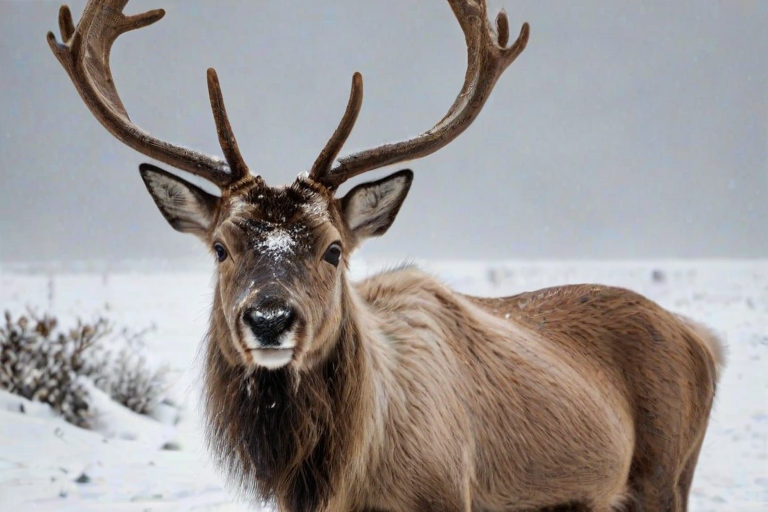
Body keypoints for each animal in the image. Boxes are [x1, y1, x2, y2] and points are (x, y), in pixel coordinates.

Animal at [47, 1, 725, 511]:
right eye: (220, 246)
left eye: (333, 249)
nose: (269, 319)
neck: (347, 478)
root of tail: (701, 337)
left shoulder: (451, 498)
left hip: (667, 473)